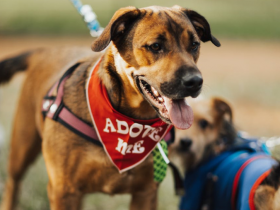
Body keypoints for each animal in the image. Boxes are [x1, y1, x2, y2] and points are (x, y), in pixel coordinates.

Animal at [0, 5, 221, 210]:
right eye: (156, 46)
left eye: (194, 45)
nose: (195, 82)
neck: (128, 124)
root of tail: (44, 51)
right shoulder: (63, 191)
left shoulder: (146, 193)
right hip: (22, 147)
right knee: (13, 184)